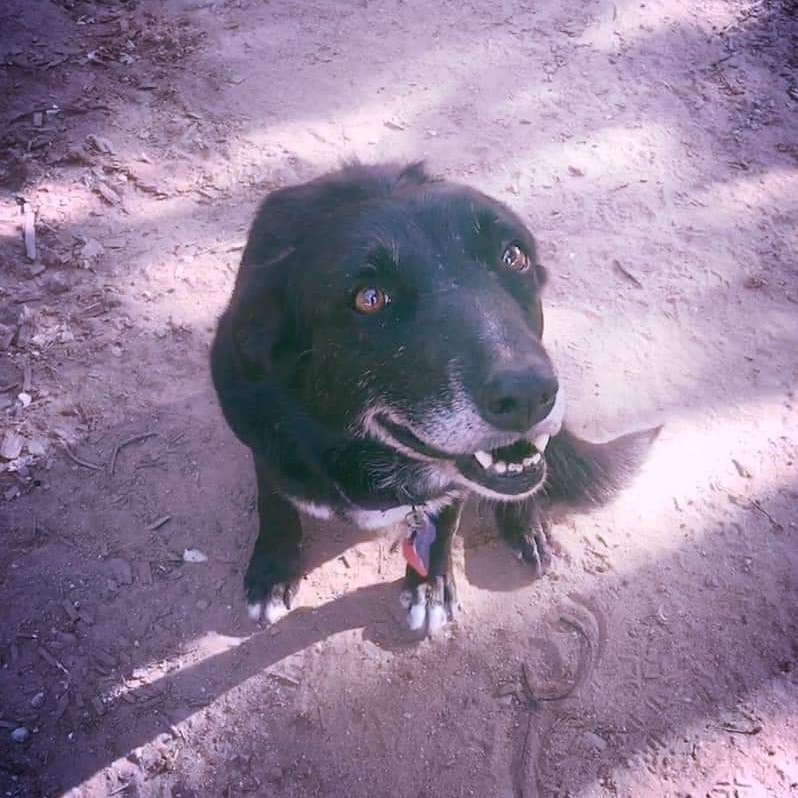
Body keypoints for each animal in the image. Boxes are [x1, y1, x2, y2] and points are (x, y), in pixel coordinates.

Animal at [211, 164, 656, 636]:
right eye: (369, 298)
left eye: (513, 256)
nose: (528, 393)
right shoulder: (262, 440)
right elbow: (274, 500)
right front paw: (273, 572)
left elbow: (446, 520)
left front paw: (430, 585)